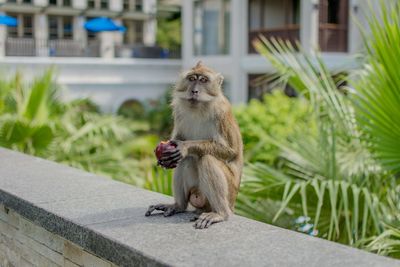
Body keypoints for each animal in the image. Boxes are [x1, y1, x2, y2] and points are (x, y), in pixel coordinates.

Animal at [145, 61, 242, 229]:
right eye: (191, 78)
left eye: (203, 80)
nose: (194, 90)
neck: (199, 107)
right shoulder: (178, 111)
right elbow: (177, 140)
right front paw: (164, 155)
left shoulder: (221, 113)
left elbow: (230, 150)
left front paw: (185, 147)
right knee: (185, 160)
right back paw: (178, 205)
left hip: (228, 194)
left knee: (206, 159)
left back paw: (220, 213)